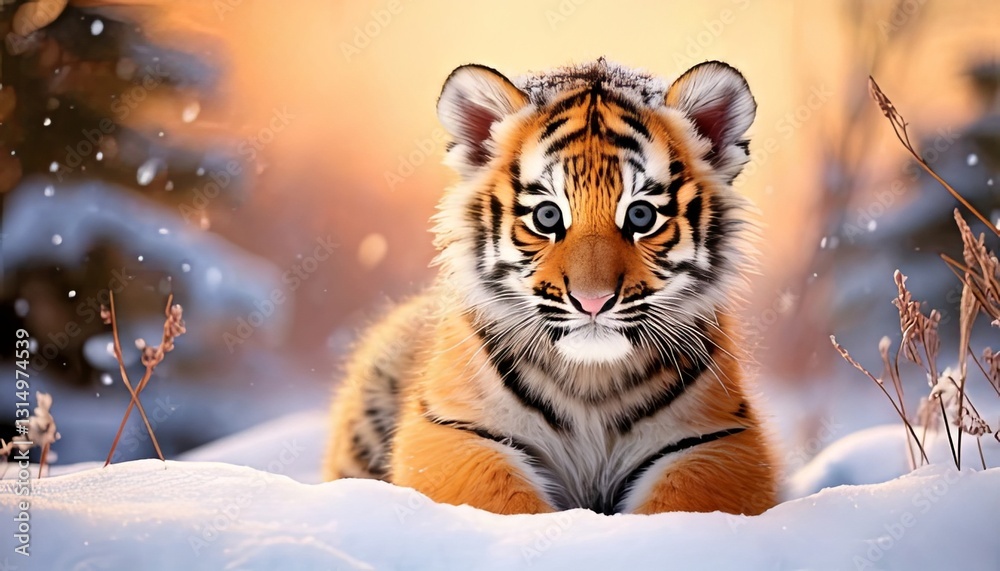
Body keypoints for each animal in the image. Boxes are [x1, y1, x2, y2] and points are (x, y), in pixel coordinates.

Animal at [323, 58, 779, 516]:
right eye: (546, 216)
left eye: (641, 216)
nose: (593, 301)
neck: (592, 381)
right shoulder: (450, 427)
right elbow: (501, 500)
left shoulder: (717, 435)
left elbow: (684, 501)